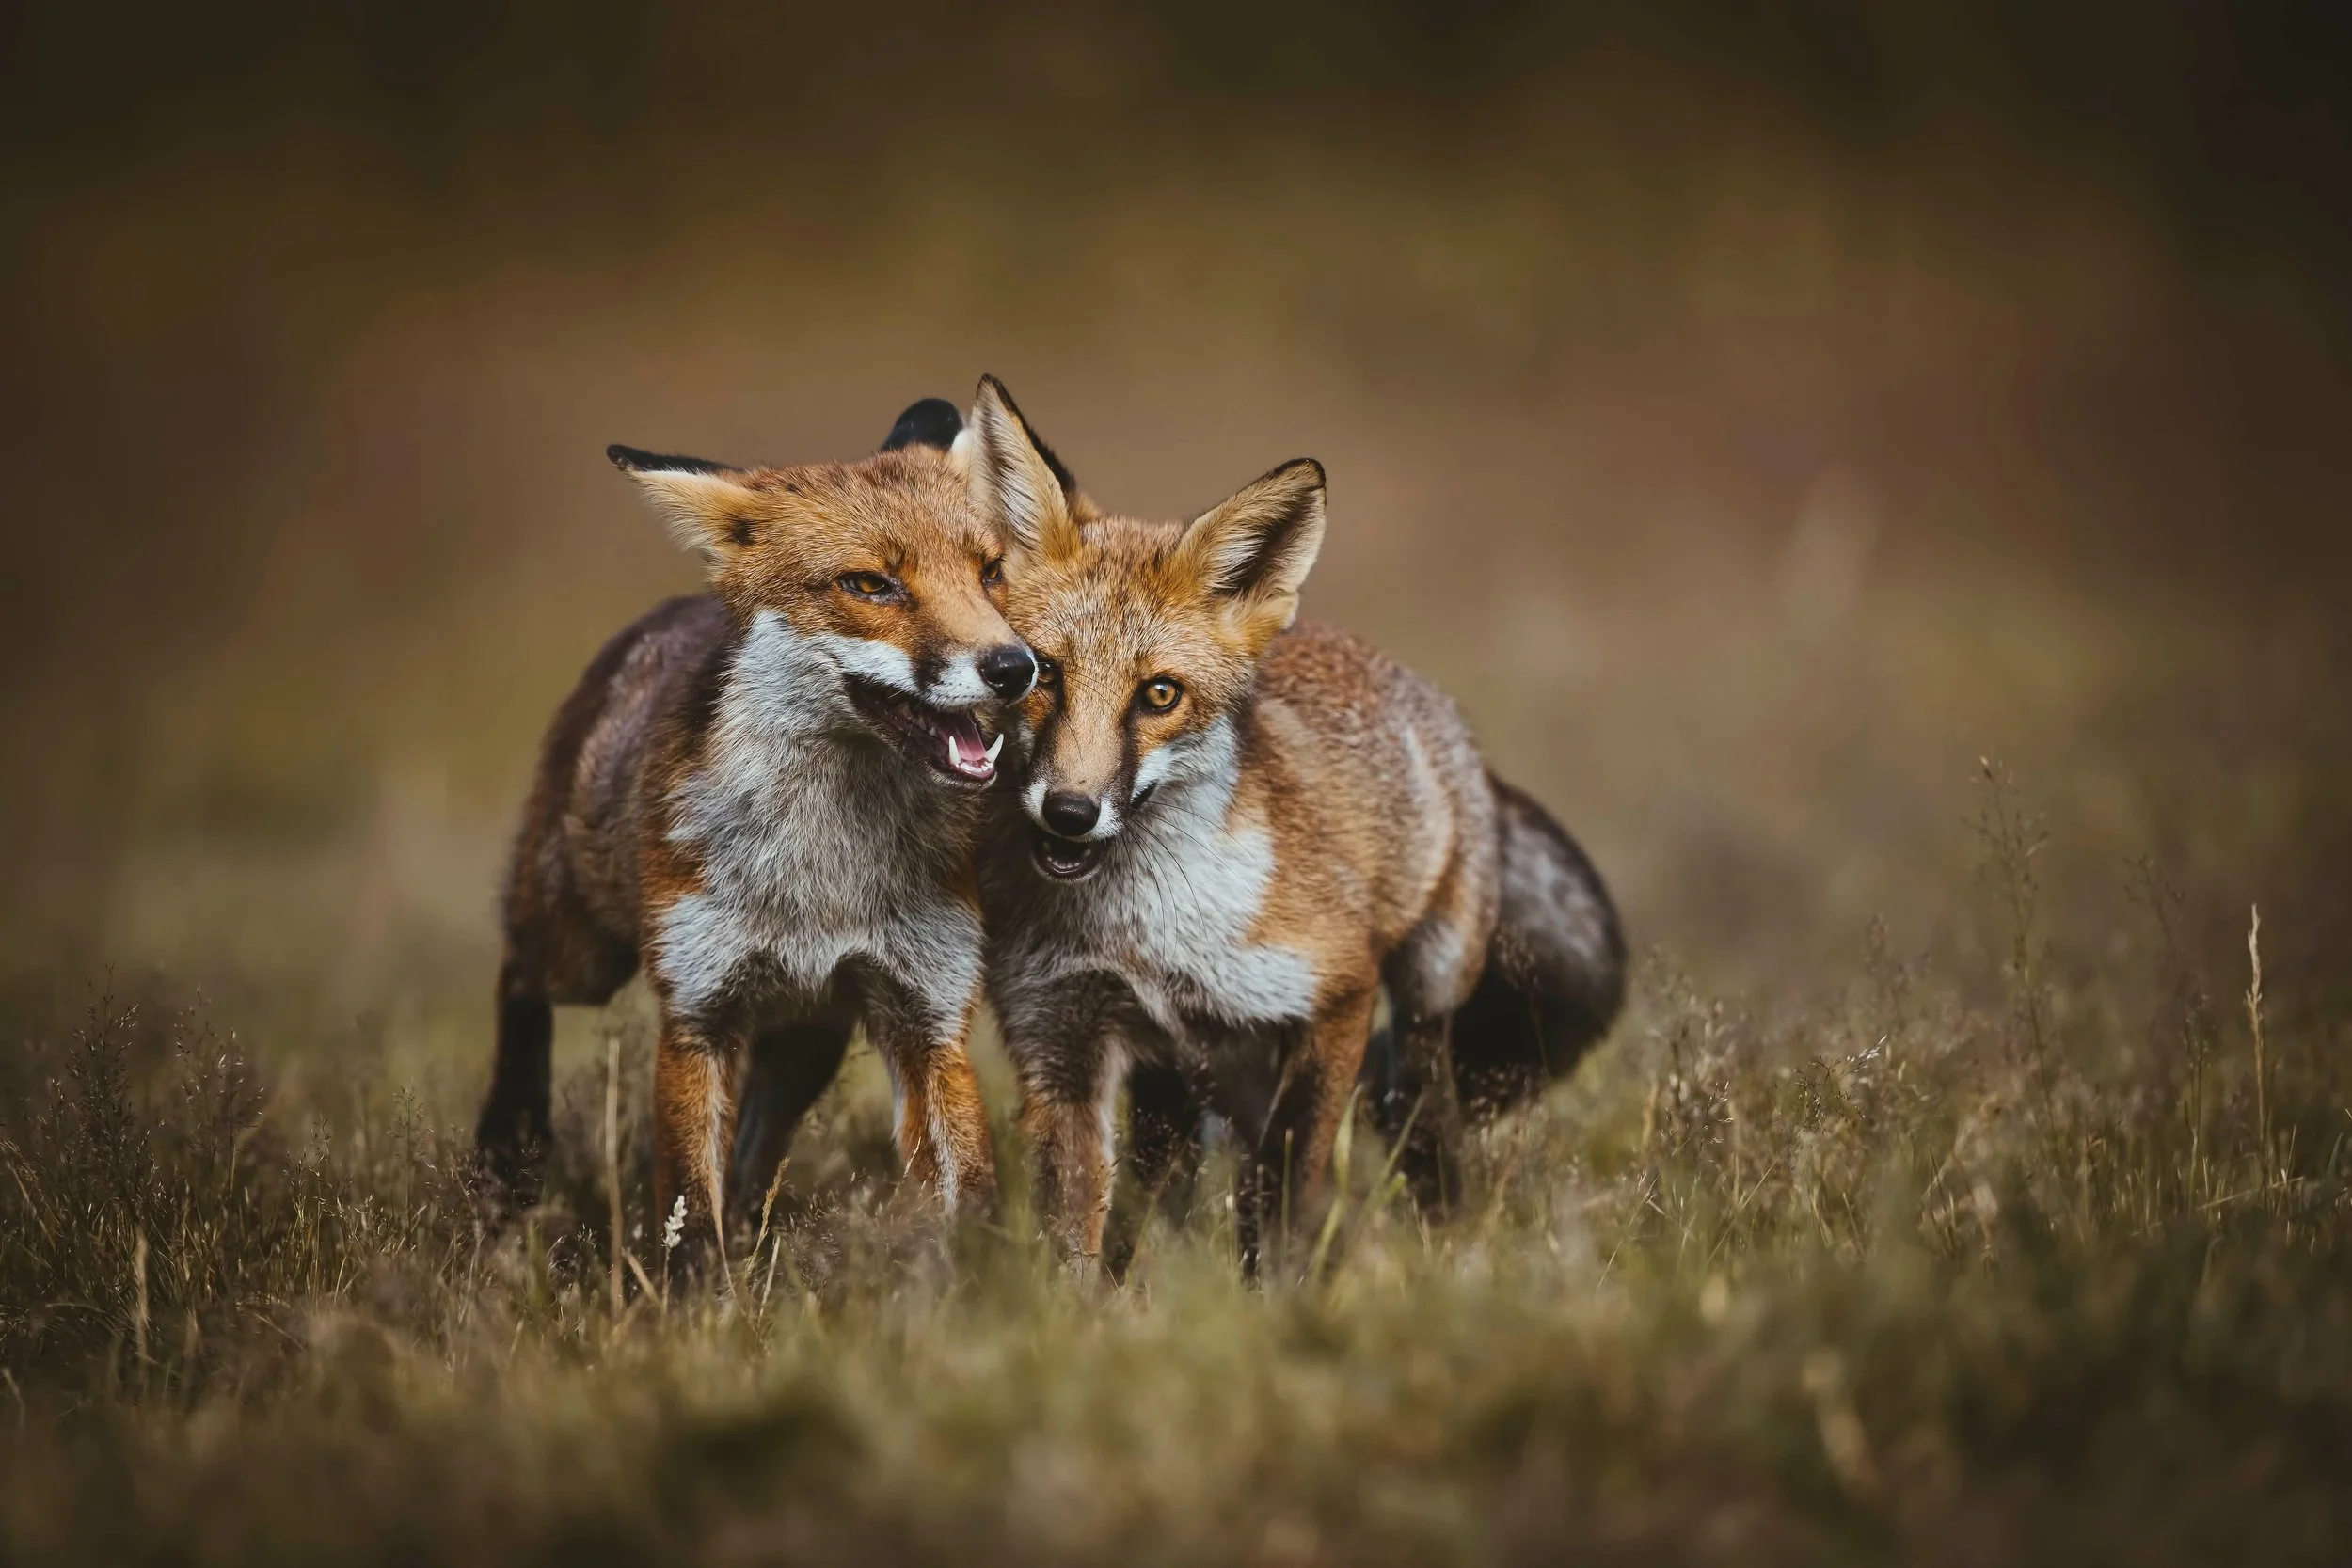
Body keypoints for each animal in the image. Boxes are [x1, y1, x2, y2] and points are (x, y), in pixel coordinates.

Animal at [471, 393, 1037, 1268]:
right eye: (870, 583)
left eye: (990, 572)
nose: (1015, 667)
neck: (824, 869)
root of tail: (676, 606)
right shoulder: (698, 1012)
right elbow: (686, 1207)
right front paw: (697, 1295)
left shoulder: (926, 1011)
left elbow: (968, 1187)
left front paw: (983, 1282)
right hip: (584, 949)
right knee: (520, 975)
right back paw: (508, 1150)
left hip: (810, 1038)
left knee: (757, 1143)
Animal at [954, 379, 1624, 1276]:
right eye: (1041, 673)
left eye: (1159, 694)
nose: (1070, 810)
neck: (1144, 936)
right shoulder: (1064, 1038)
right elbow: (1075, 1236)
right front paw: (1088, 1307)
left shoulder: (1336, 994)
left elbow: (1288, 1186)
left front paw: (1283, 1291)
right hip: (1185, 1076)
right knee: (1167, 1180)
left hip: (1425, 1001)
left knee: (1416, 1126)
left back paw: (1443, 1244)